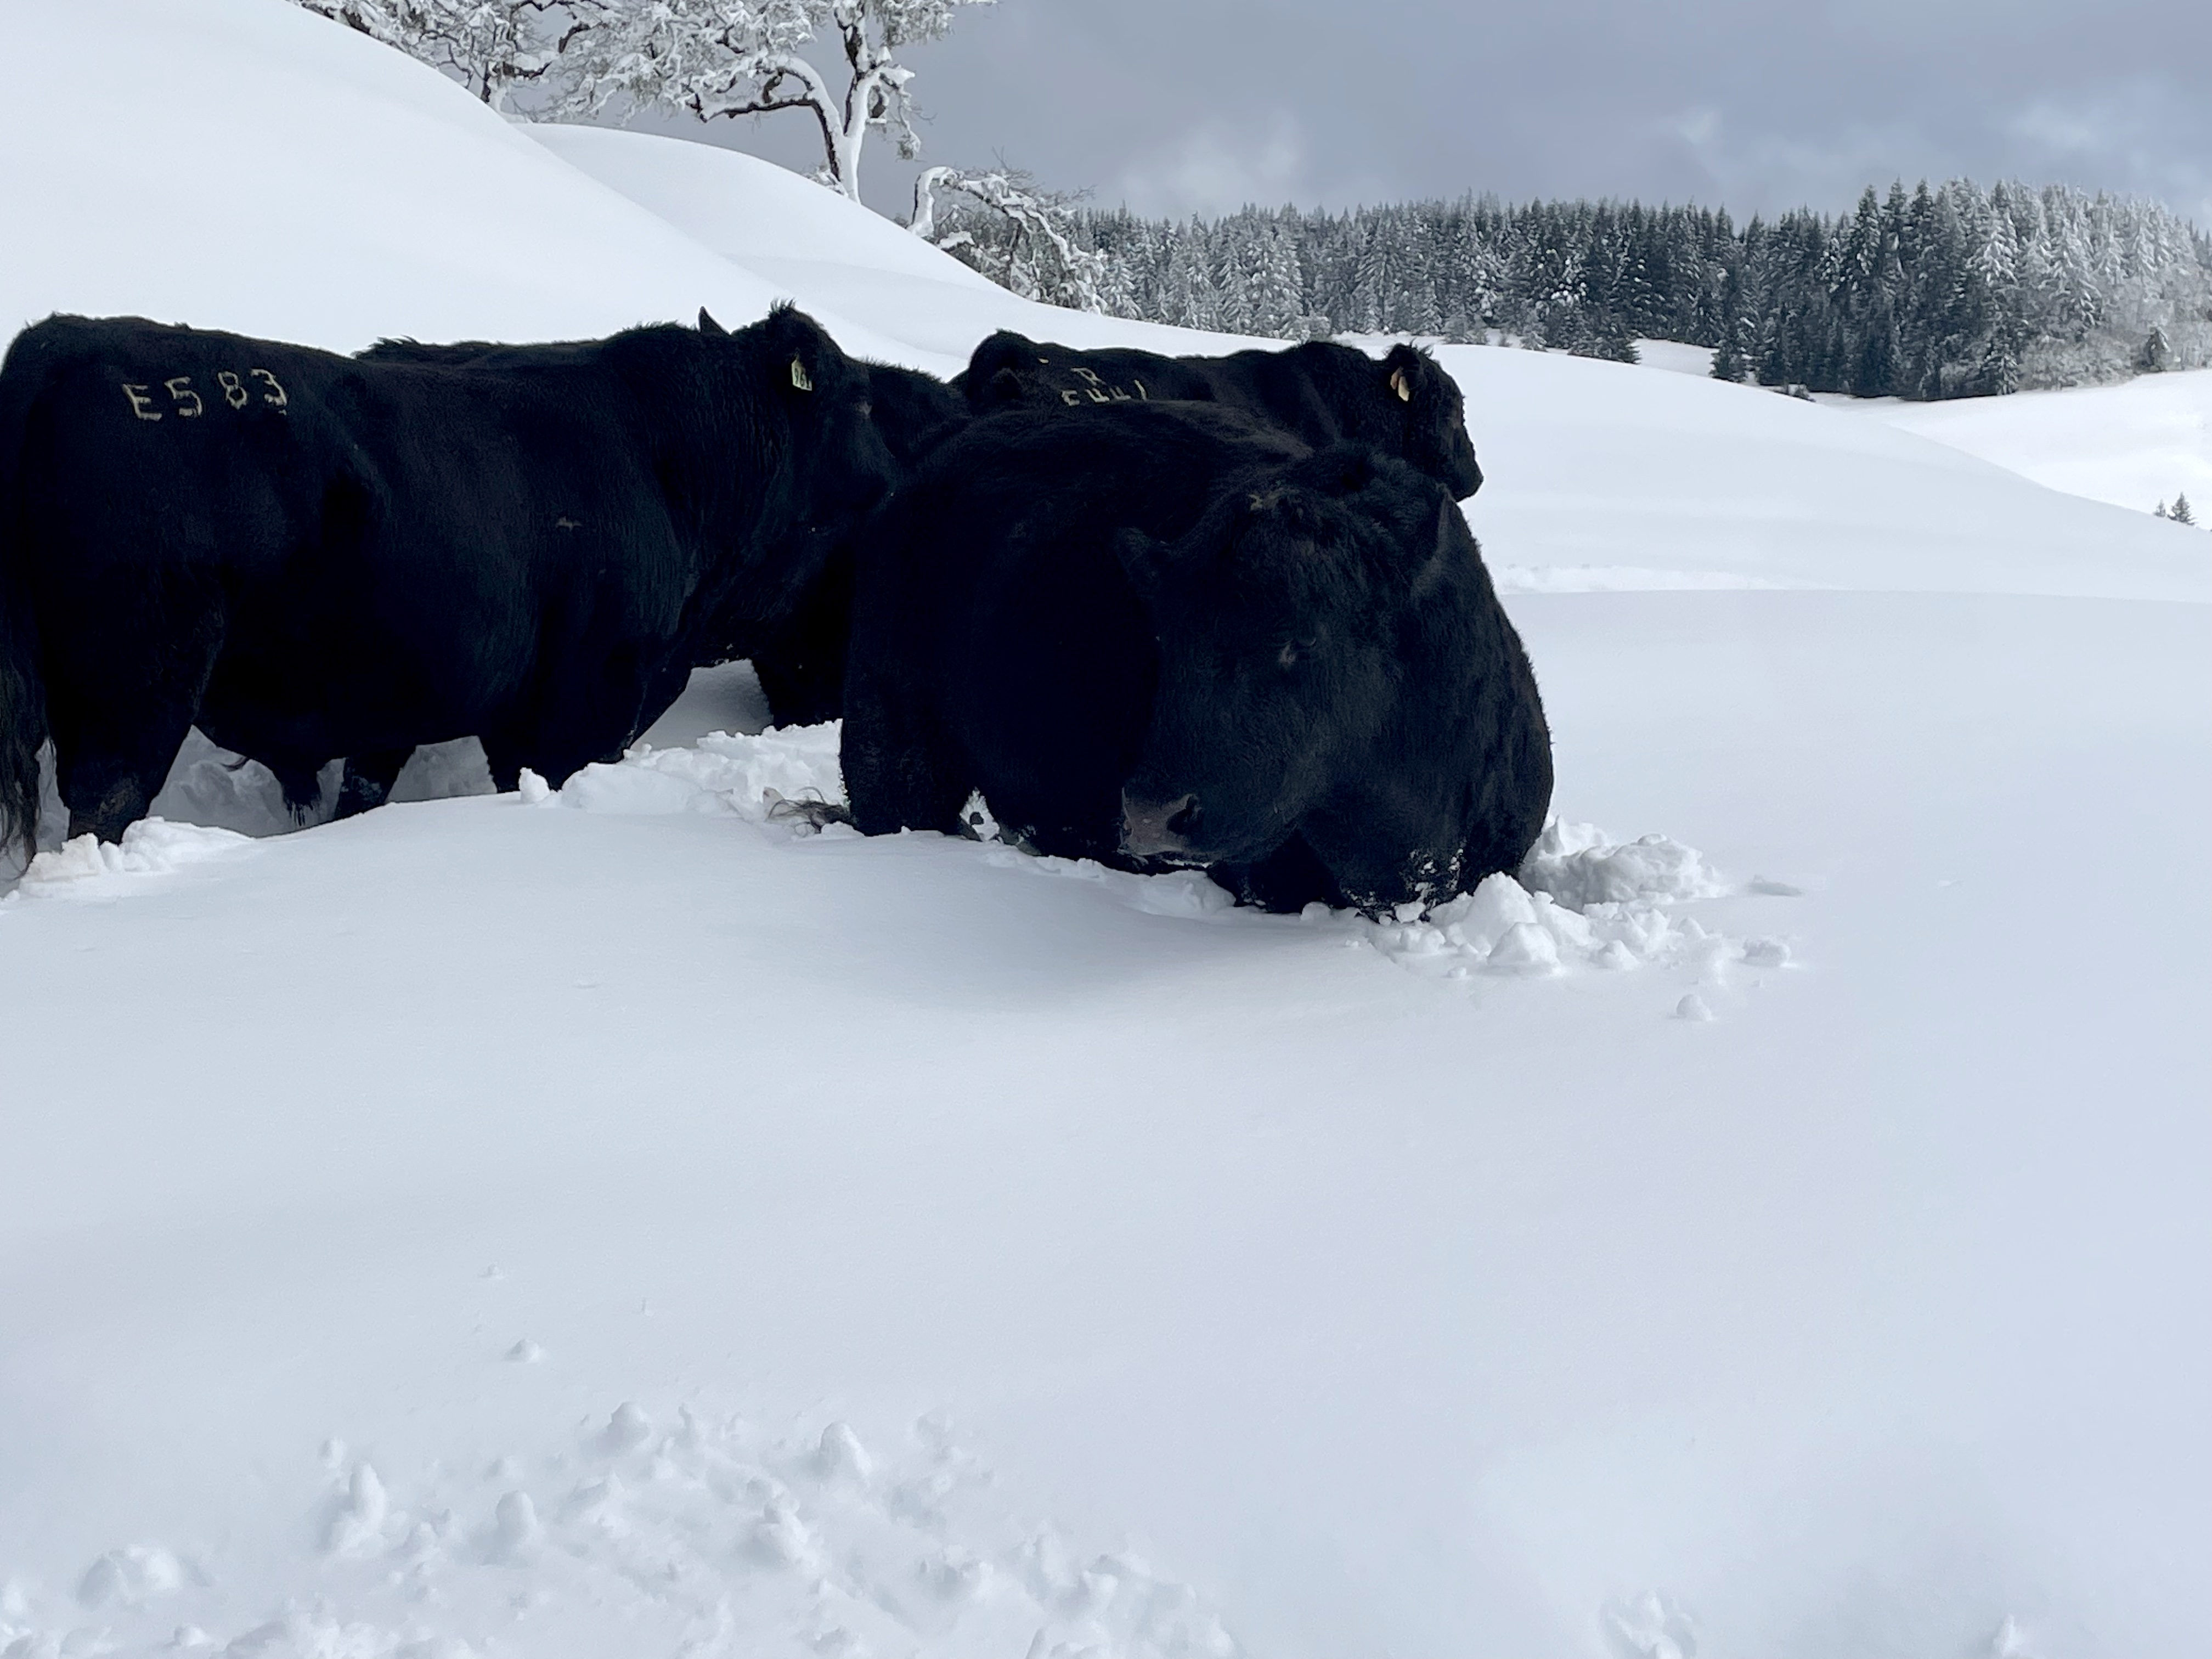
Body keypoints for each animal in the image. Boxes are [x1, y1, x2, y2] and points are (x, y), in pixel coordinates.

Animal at [0, 303, 893, 855]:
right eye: (856, 402)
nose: (893, 471)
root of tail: (64, 341)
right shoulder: (581, 706)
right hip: (137, 693)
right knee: (105, 804)